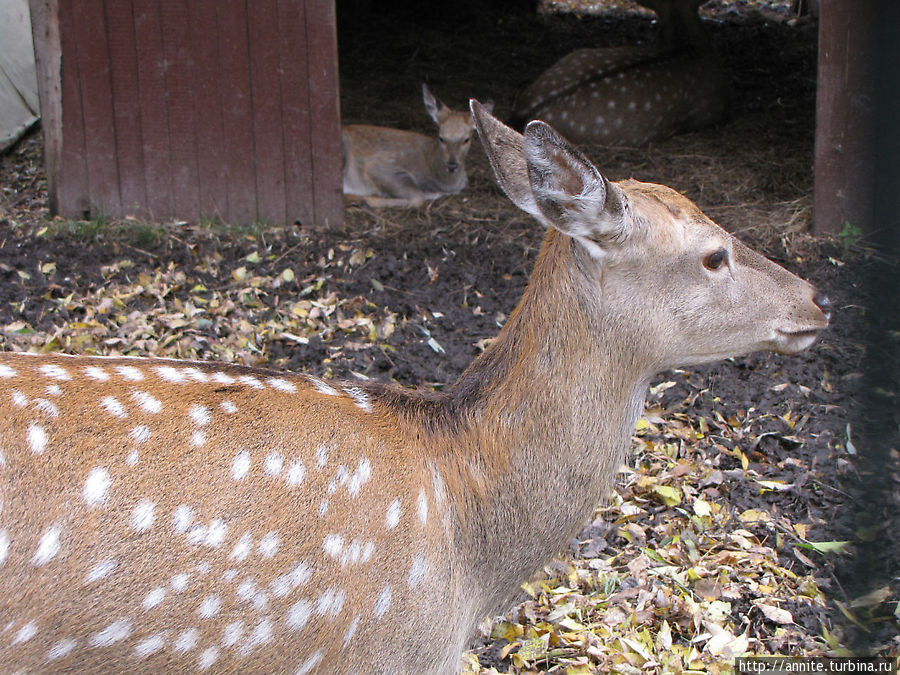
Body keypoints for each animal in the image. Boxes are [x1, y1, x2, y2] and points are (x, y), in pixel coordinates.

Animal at [342, 84, 492, 207]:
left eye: (466, 139)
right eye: (441, 138)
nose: (452, 165)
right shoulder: (380, 166)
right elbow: (418, 198)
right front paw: (367, 199)